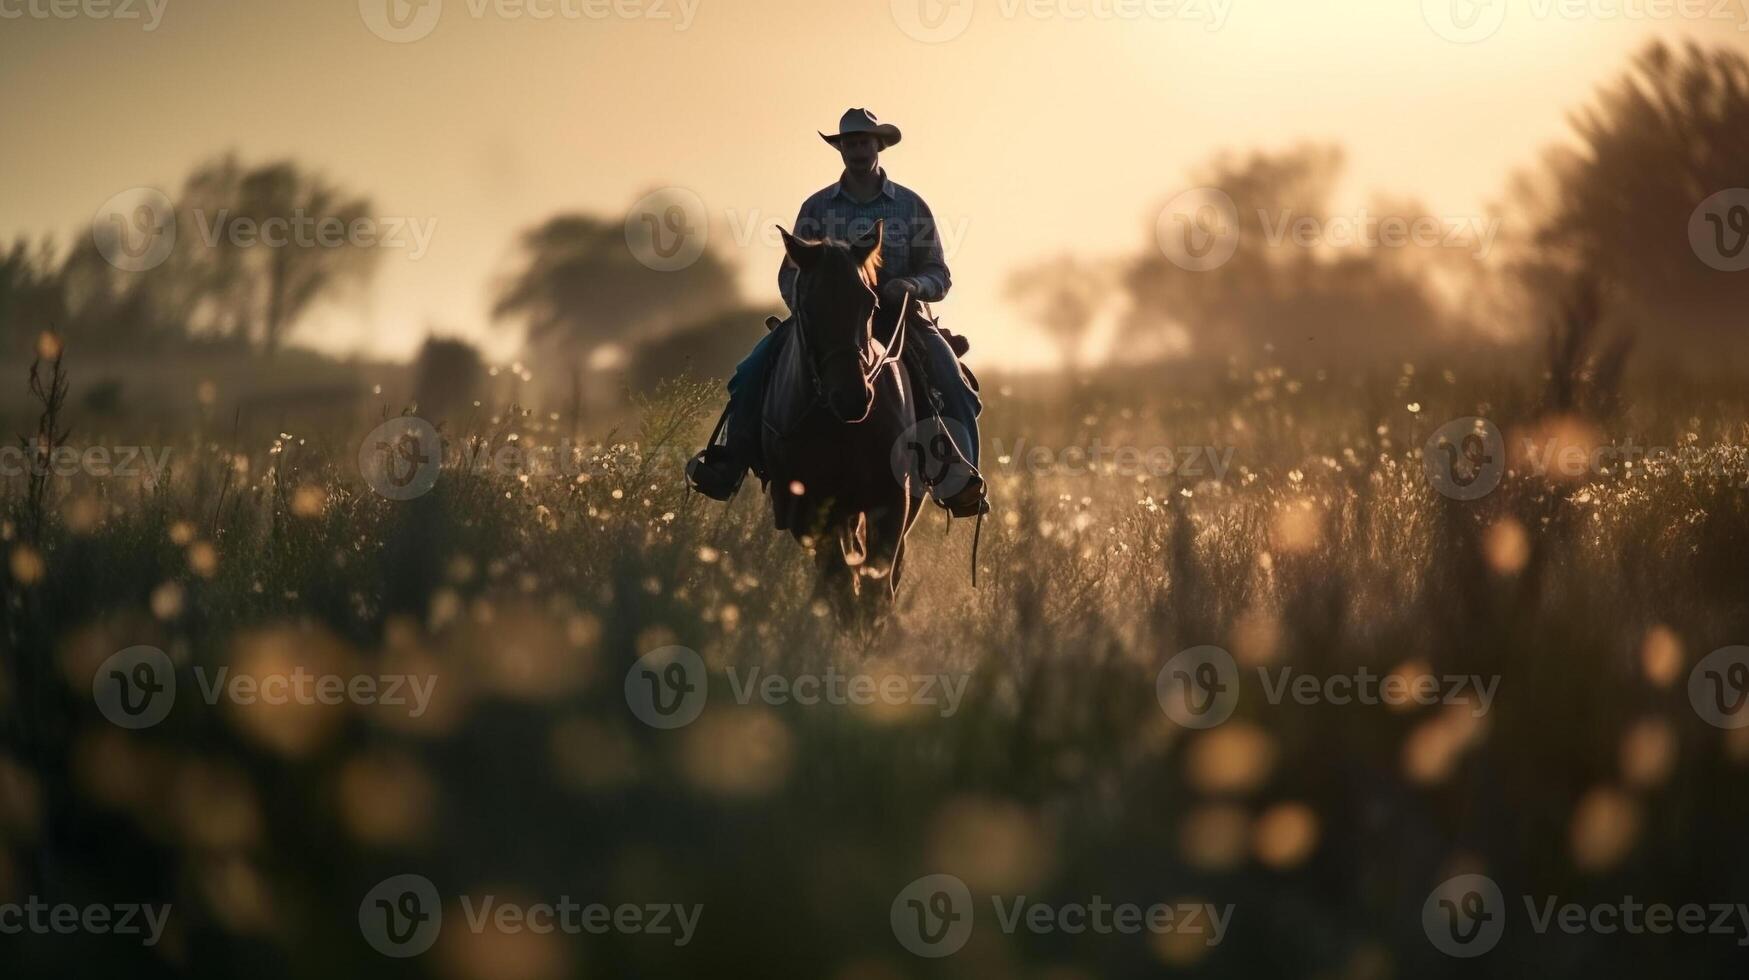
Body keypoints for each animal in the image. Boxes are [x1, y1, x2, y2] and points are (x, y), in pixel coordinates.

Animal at [769, 217, 930, 623]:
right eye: (808, 306)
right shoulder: (812, 510)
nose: (853, 397)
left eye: (870, 302)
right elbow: (839, 580)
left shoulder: (892, 503)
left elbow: (879, 582)